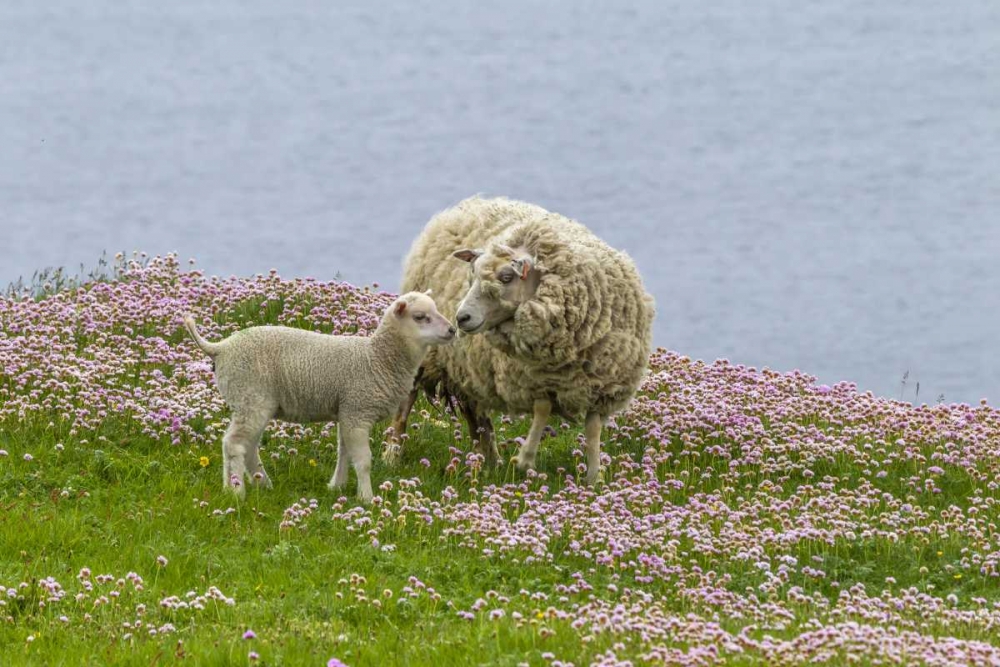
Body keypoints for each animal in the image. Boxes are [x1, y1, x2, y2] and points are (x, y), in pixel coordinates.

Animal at [183, 291, 455, 502]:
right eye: (420, 317)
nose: (453, 329)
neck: (377, 358)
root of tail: (221, 348)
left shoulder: (347, 412)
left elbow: (344, 452)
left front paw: (337, 486)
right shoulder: (358, 410)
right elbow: (363, 460)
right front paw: (366, 498)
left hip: (252, 402)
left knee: (243, 446)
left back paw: (246, 486)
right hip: (251, 397)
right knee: (235, 444)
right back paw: (238, 492)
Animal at [389, 196, 655, 485]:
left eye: (506, 278)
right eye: (471, 276)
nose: (460, 318)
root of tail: (467, 205)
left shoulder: (601, 384)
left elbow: (594, 427)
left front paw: (595, 477)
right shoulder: (532, 377)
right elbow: (543, 408)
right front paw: (525, 459)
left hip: (468, 367)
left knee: (476, 413)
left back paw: (489, 459)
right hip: (424, 353)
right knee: (406, 403)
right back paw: (392, 452)